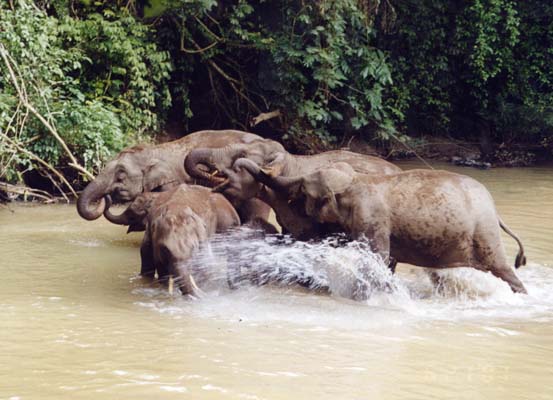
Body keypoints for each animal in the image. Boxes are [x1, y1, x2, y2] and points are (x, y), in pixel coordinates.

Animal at [233, 158, 528, 296]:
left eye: (304, 189)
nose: (238, 165)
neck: (356, 181)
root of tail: (495, 211)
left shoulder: (371, 217)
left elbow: (377, 258)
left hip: (484, 233)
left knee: (503, 269)